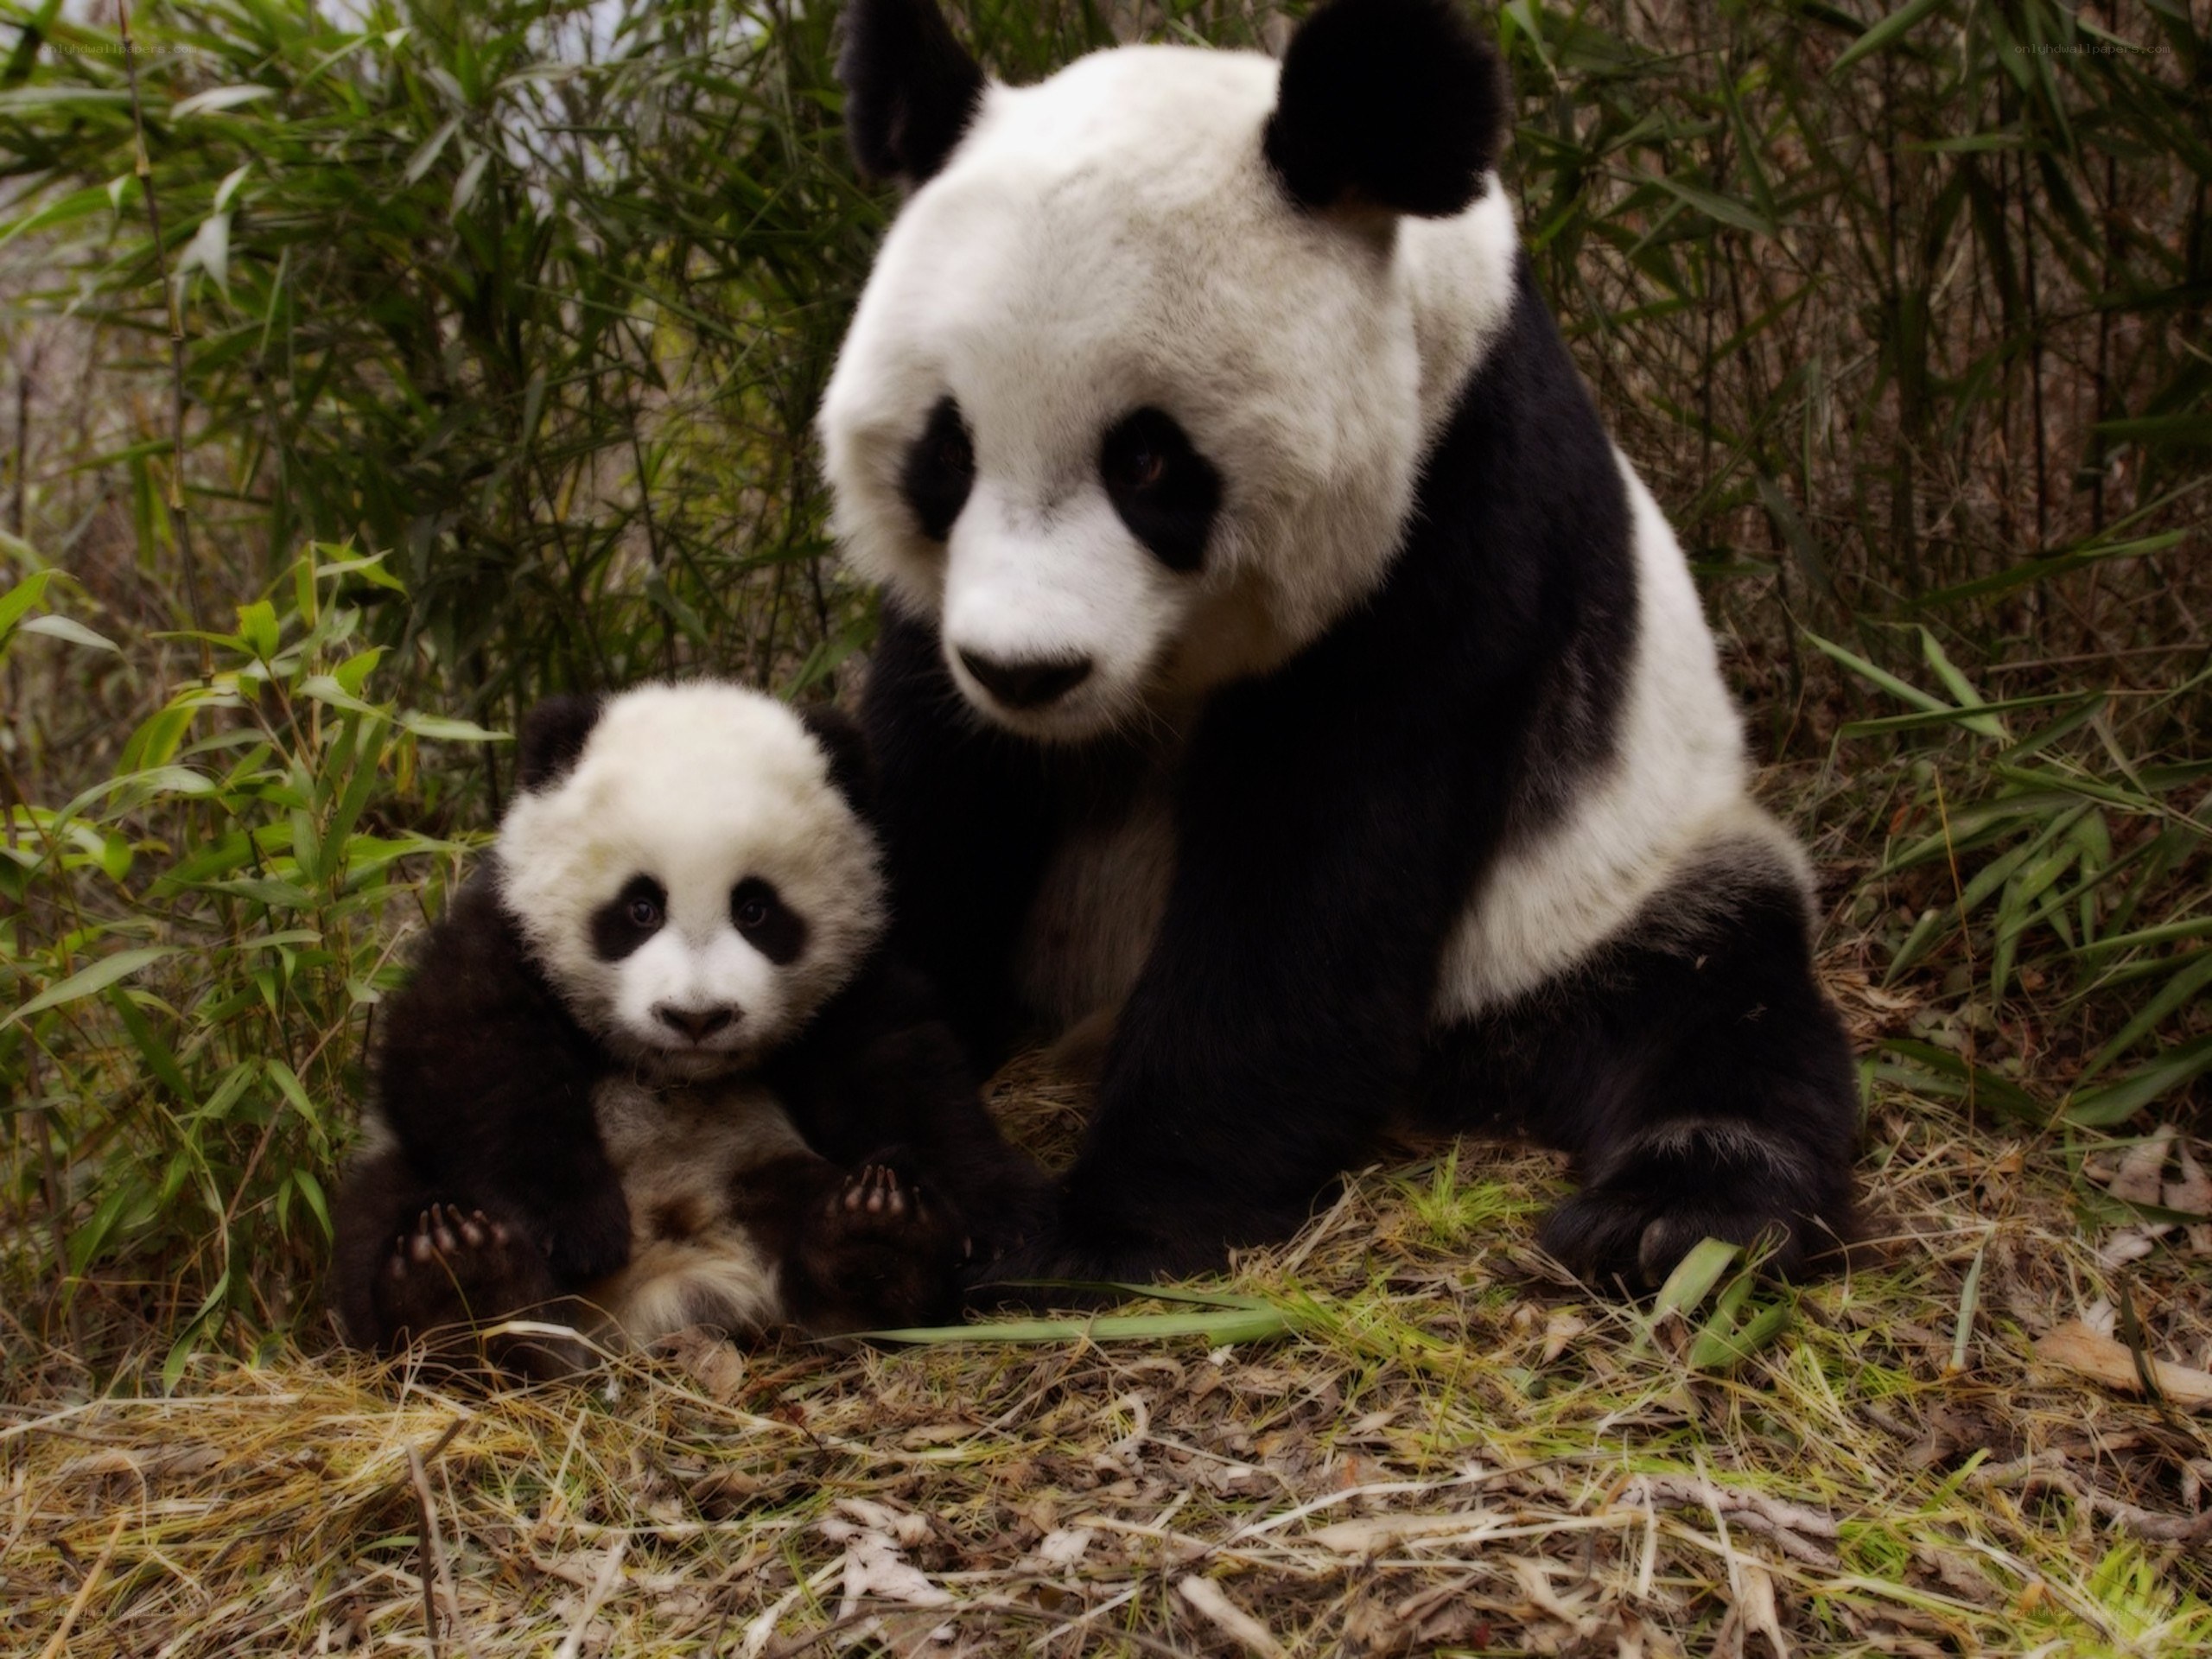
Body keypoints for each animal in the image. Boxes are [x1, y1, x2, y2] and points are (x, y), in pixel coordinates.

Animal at [330, 681, 1046, 1376]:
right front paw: (576, 1228)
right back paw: (459, 1289)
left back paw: (877, 1242)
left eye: (755, 909)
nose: (697, 1017)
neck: (673, 1072)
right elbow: (467, 1054)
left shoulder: (852, 977)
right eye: (640, 908)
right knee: (380, 1214)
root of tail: (660, 1289)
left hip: (755, 1166)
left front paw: (1001, 1222)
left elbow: (903, 1070)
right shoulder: (504, 929)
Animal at [816, 0, 1861, 1293]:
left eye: (1146, 460)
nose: (1027, 673)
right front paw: (900, 1188)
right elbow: (932, 805)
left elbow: (1316, 870)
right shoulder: (941, 633)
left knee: (1714, 1000)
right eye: (948, 453)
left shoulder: (1454, 512)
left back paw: (1673, 1216)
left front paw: (1110, 1230)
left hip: (1606, 881)